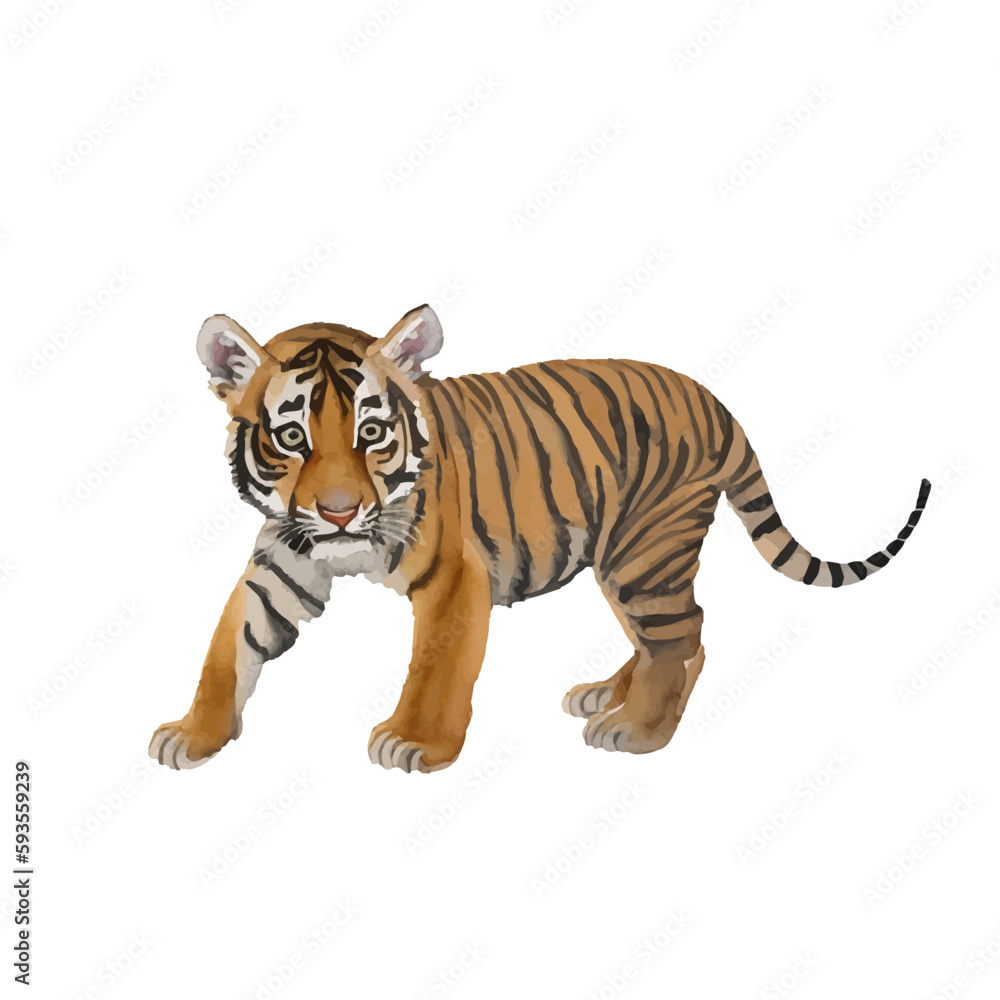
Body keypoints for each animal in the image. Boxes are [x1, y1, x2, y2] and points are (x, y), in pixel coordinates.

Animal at [149, 304, 930, 772]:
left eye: (371, 433)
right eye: (291, 438)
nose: (340, 513)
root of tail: (714, 401)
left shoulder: (454, 579)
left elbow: (435, 668)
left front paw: (415, 742)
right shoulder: (284, 561)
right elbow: (229, 647)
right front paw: (193, 733)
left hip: (646, 551)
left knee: (684, 636)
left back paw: (635, 732)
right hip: (623, 558)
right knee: (668, 637)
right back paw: (606, 696)